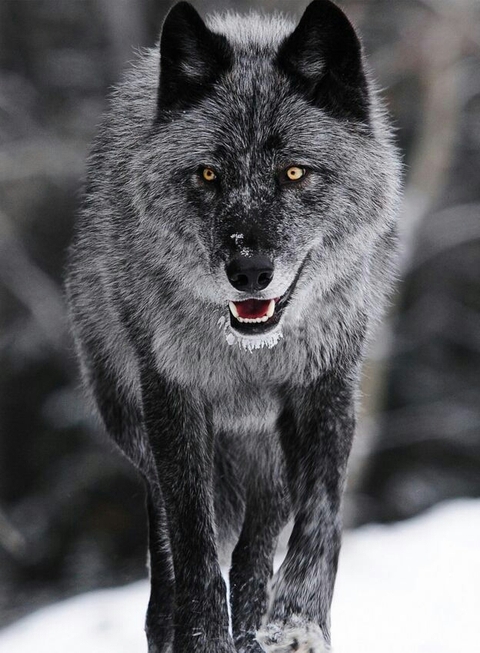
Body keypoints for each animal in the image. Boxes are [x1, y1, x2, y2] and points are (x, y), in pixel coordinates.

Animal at [66, 1, 401, 652]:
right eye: (208, 175)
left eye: (294, 173)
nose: (248, 271)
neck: (249, 354)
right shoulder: (174, 400)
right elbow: (194, 545)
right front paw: (202, 640)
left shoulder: (325, 391)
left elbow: (322, 515)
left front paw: (297, 621)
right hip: (137, 427)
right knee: (177, 557)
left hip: (265, 456)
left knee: (255, 548)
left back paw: (254, 626)